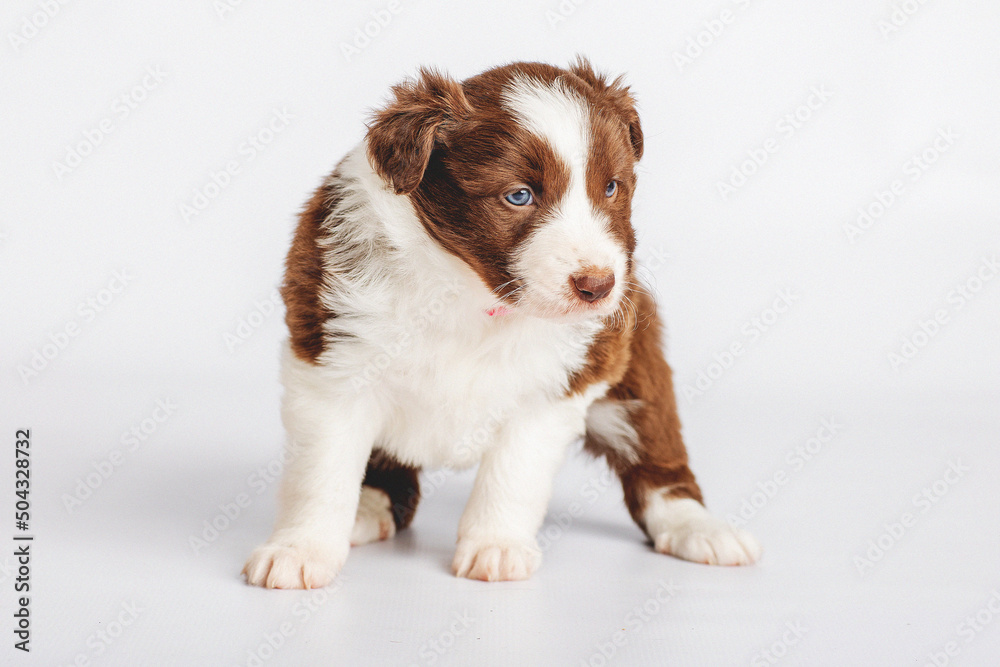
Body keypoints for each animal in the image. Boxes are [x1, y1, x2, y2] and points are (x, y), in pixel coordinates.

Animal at [242, 58, 756, 588]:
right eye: (519, 196)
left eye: (612, 187)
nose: (598, 286)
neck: (473, 296)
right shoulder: (334, 365)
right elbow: (321, 475)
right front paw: (299, 550)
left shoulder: (560, 383)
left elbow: (513, 474)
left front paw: (497, 547)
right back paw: (369, 507)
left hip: (638, 364)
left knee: (658, 453)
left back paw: (699, 528)